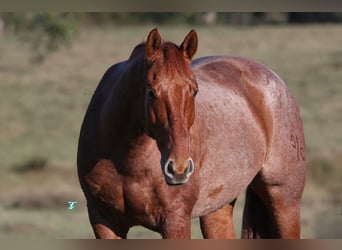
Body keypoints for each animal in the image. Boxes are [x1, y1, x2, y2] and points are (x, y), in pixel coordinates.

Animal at [78, 28, 308, 239]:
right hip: (217, 210)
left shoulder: (175, 220)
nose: (179, 169)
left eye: (195, 91)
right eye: (151, 92)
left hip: (284, 202)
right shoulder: (104, 222)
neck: (127, 160)